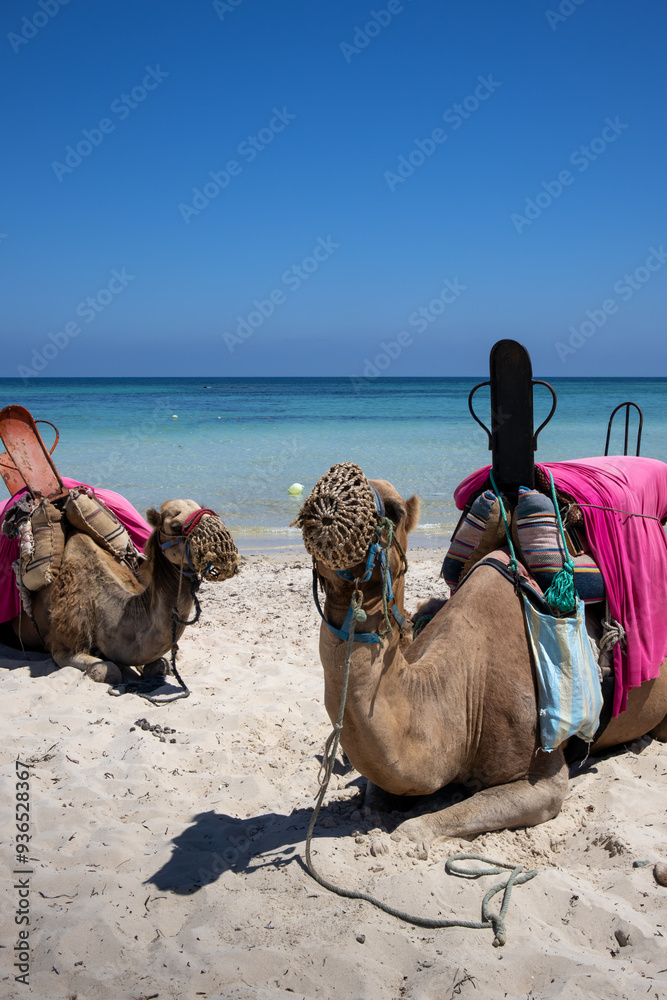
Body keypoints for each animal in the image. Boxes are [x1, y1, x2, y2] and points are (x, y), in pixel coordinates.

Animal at [298, 468, 667, 846]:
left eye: (395, 510)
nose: (329, 500)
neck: (463, 691)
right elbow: (375, 794)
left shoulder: (544, 779)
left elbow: (412, 829)